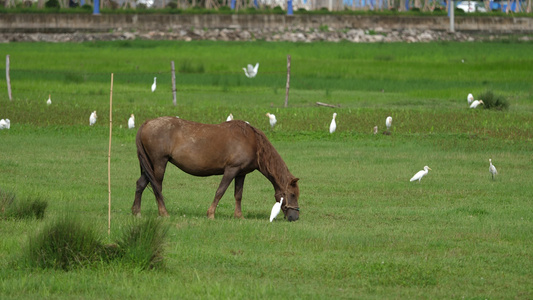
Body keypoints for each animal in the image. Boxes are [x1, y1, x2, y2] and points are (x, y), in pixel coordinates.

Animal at [133, 116, 300, 221]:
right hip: (159, 163)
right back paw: (163, 213)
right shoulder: (231, 170)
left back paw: (136, 212)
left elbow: (238, 195)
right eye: (292, 195)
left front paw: (239, 216)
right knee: (157, 187)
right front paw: (211, 214)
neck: (253, 142)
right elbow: (220, 191)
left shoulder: (241, 174)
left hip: (149, 166)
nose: (295, 217)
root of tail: (147, 123)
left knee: (141, 184)